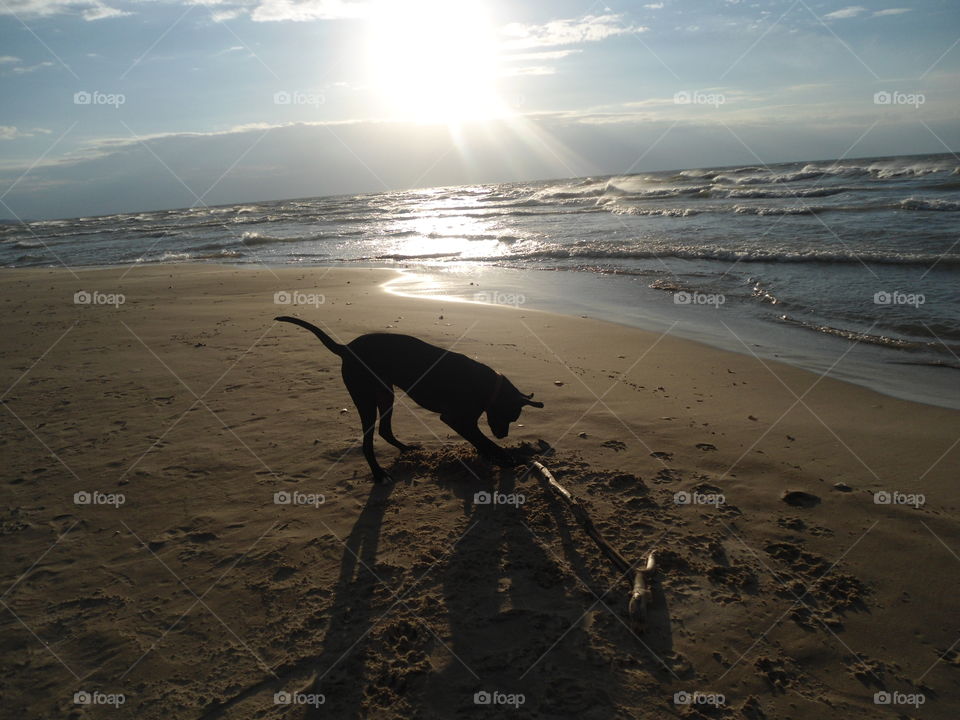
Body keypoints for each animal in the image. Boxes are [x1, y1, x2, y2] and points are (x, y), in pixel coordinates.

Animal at [274, 316, 544, 480]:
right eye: (512, 416)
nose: (504, 435)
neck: (489, 386)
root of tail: (346, 348)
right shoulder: (455, 419)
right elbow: (482, 440)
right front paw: (504, 457)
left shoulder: (465, 421)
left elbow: (479, 440)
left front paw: (495, 456)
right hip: (364, 397)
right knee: (368, 441)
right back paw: (379, 474)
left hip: (385, 393)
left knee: (385, 430)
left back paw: (406, 449)